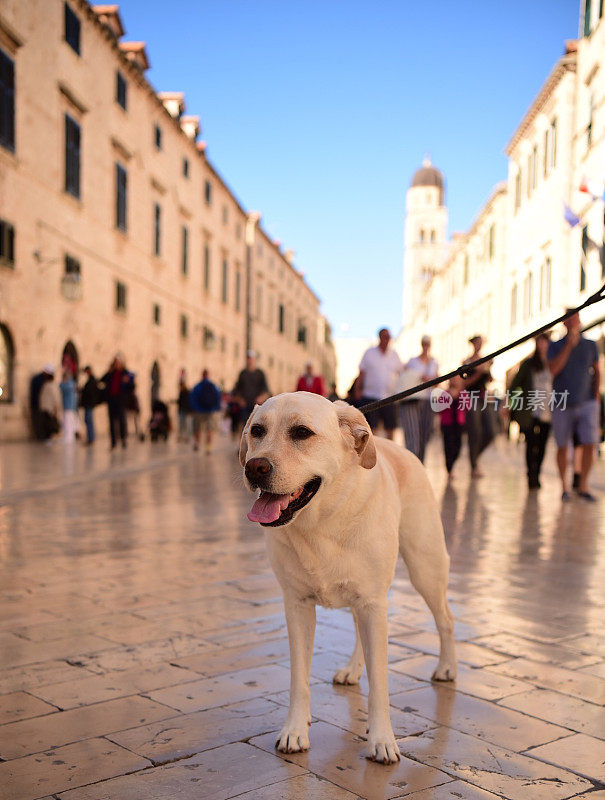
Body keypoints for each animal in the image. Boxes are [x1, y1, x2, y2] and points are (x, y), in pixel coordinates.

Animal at [238, 392, 456, 764]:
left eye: (302, 432)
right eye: (257, 431)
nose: (254, 467)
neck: (321, 521)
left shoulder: (372, 603)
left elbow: (380, 684)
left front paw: (382, 740)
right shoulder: (297, 605)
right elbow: (298, 678)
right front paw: (294, 730)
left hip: (424, 567)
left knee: (446, 619)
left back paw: (446, 668)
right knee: (358, 630)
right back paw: (354, 669)